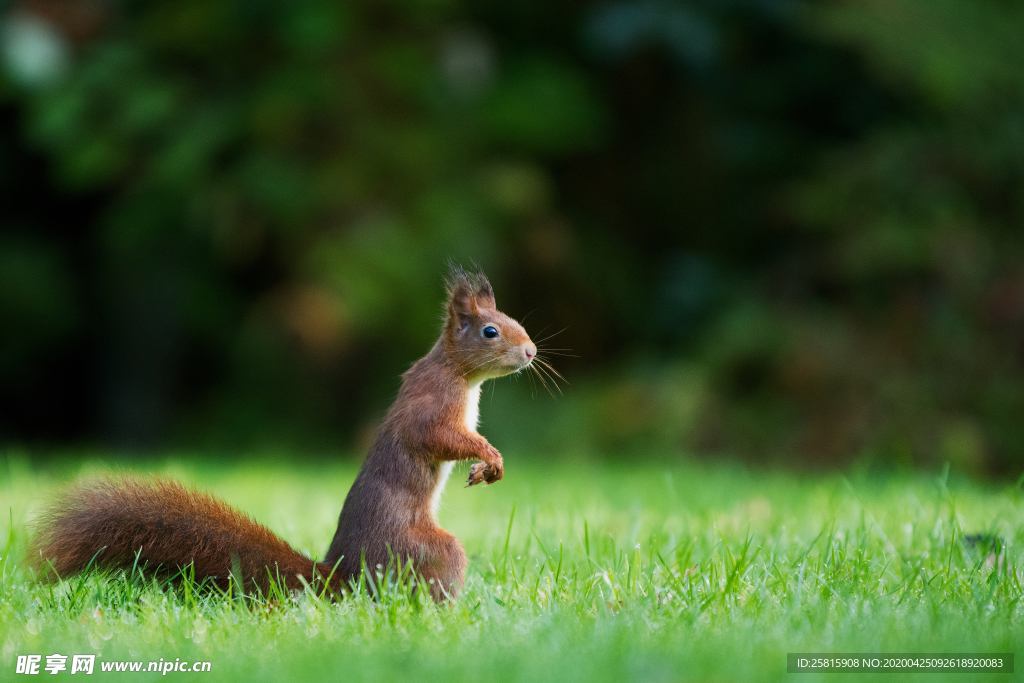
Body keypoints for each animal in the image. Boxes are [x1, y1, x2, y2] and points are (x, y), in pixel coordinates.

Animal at [29, 264, 540, 602]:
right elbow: (437, 437)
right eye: (491, 331)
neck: (458, 373)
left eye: (518, 323)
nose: (532, 351)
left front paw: (486, 467)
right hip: (425, 550)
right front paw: (488, 456)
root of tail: (342, 577)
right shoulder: (432, 406)